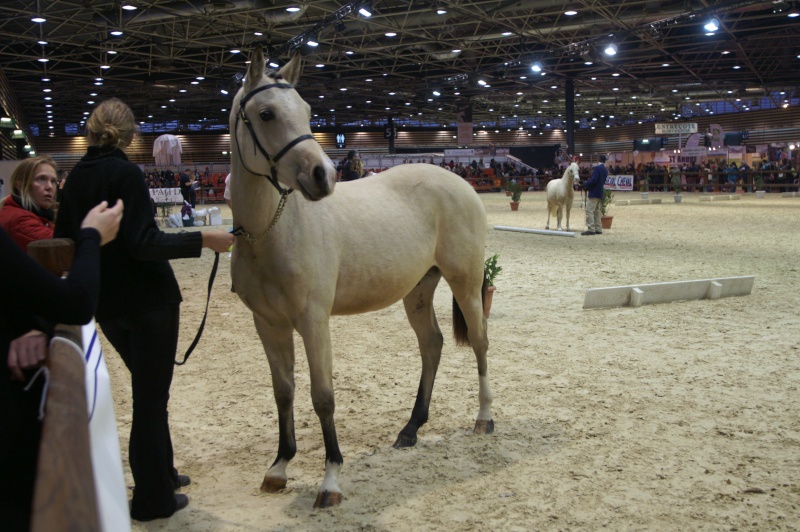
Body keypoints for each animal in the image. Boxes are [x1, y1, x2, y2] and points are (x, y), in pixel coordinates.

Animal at [228, 48, 494, 508]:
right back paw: (410, 429)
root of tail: (458, 180)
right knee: (432, 344)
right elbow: (284, 392)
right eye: (266, 113)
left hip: (465, 281)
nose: (323, 175)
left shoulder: (313, 321)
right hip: (419, 289)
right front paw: (279, 467)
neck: (272, 230)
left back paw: (484, 418)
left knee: (479, 340)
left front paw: (331, 479)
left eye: (307, 110)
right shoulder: (268, 324)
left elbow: (322, 396)